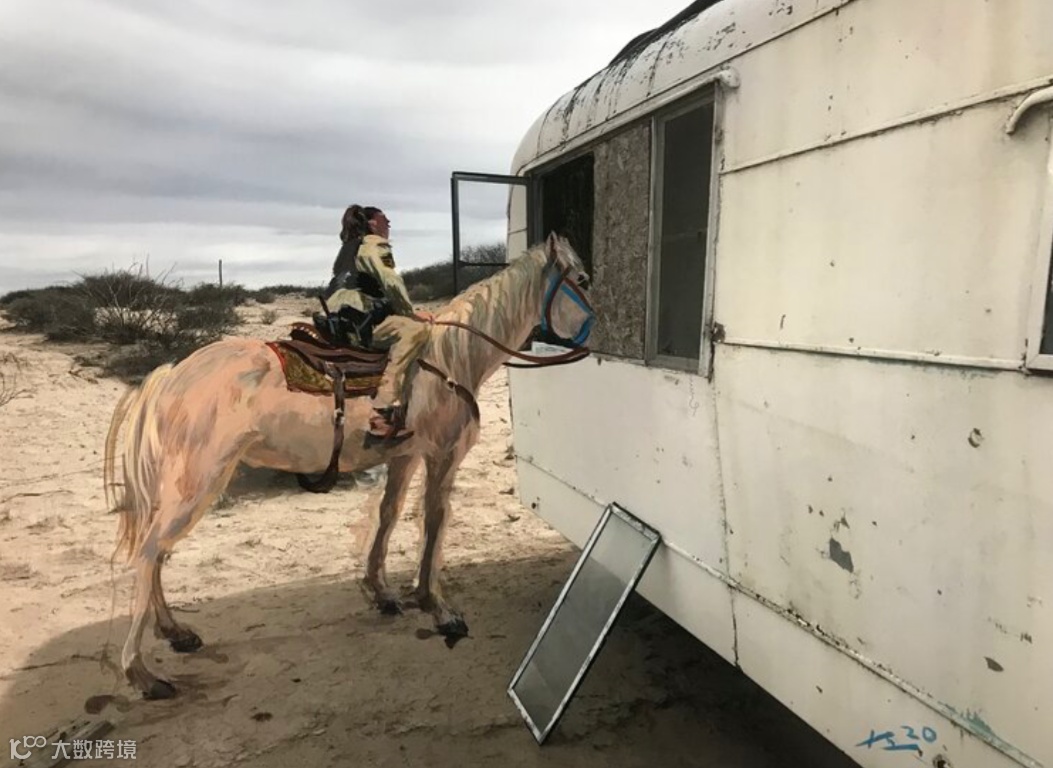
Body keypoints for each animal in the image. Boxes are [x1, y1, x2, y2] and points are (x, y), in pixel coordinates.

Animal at [103, 233, 594, 699]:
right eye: (582, 279)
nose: (598, 332)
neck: (452, 358)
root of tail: (172, 373)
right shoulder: (442, 455)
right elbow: (434, 521)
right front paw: (437, 607)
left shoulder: (405, 456)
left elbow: (388, 515)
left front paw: (383, 592)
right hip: (197, 480)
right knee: (150, 551)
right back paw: (142, 673)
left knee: (158, 551)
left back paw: (175, 632)